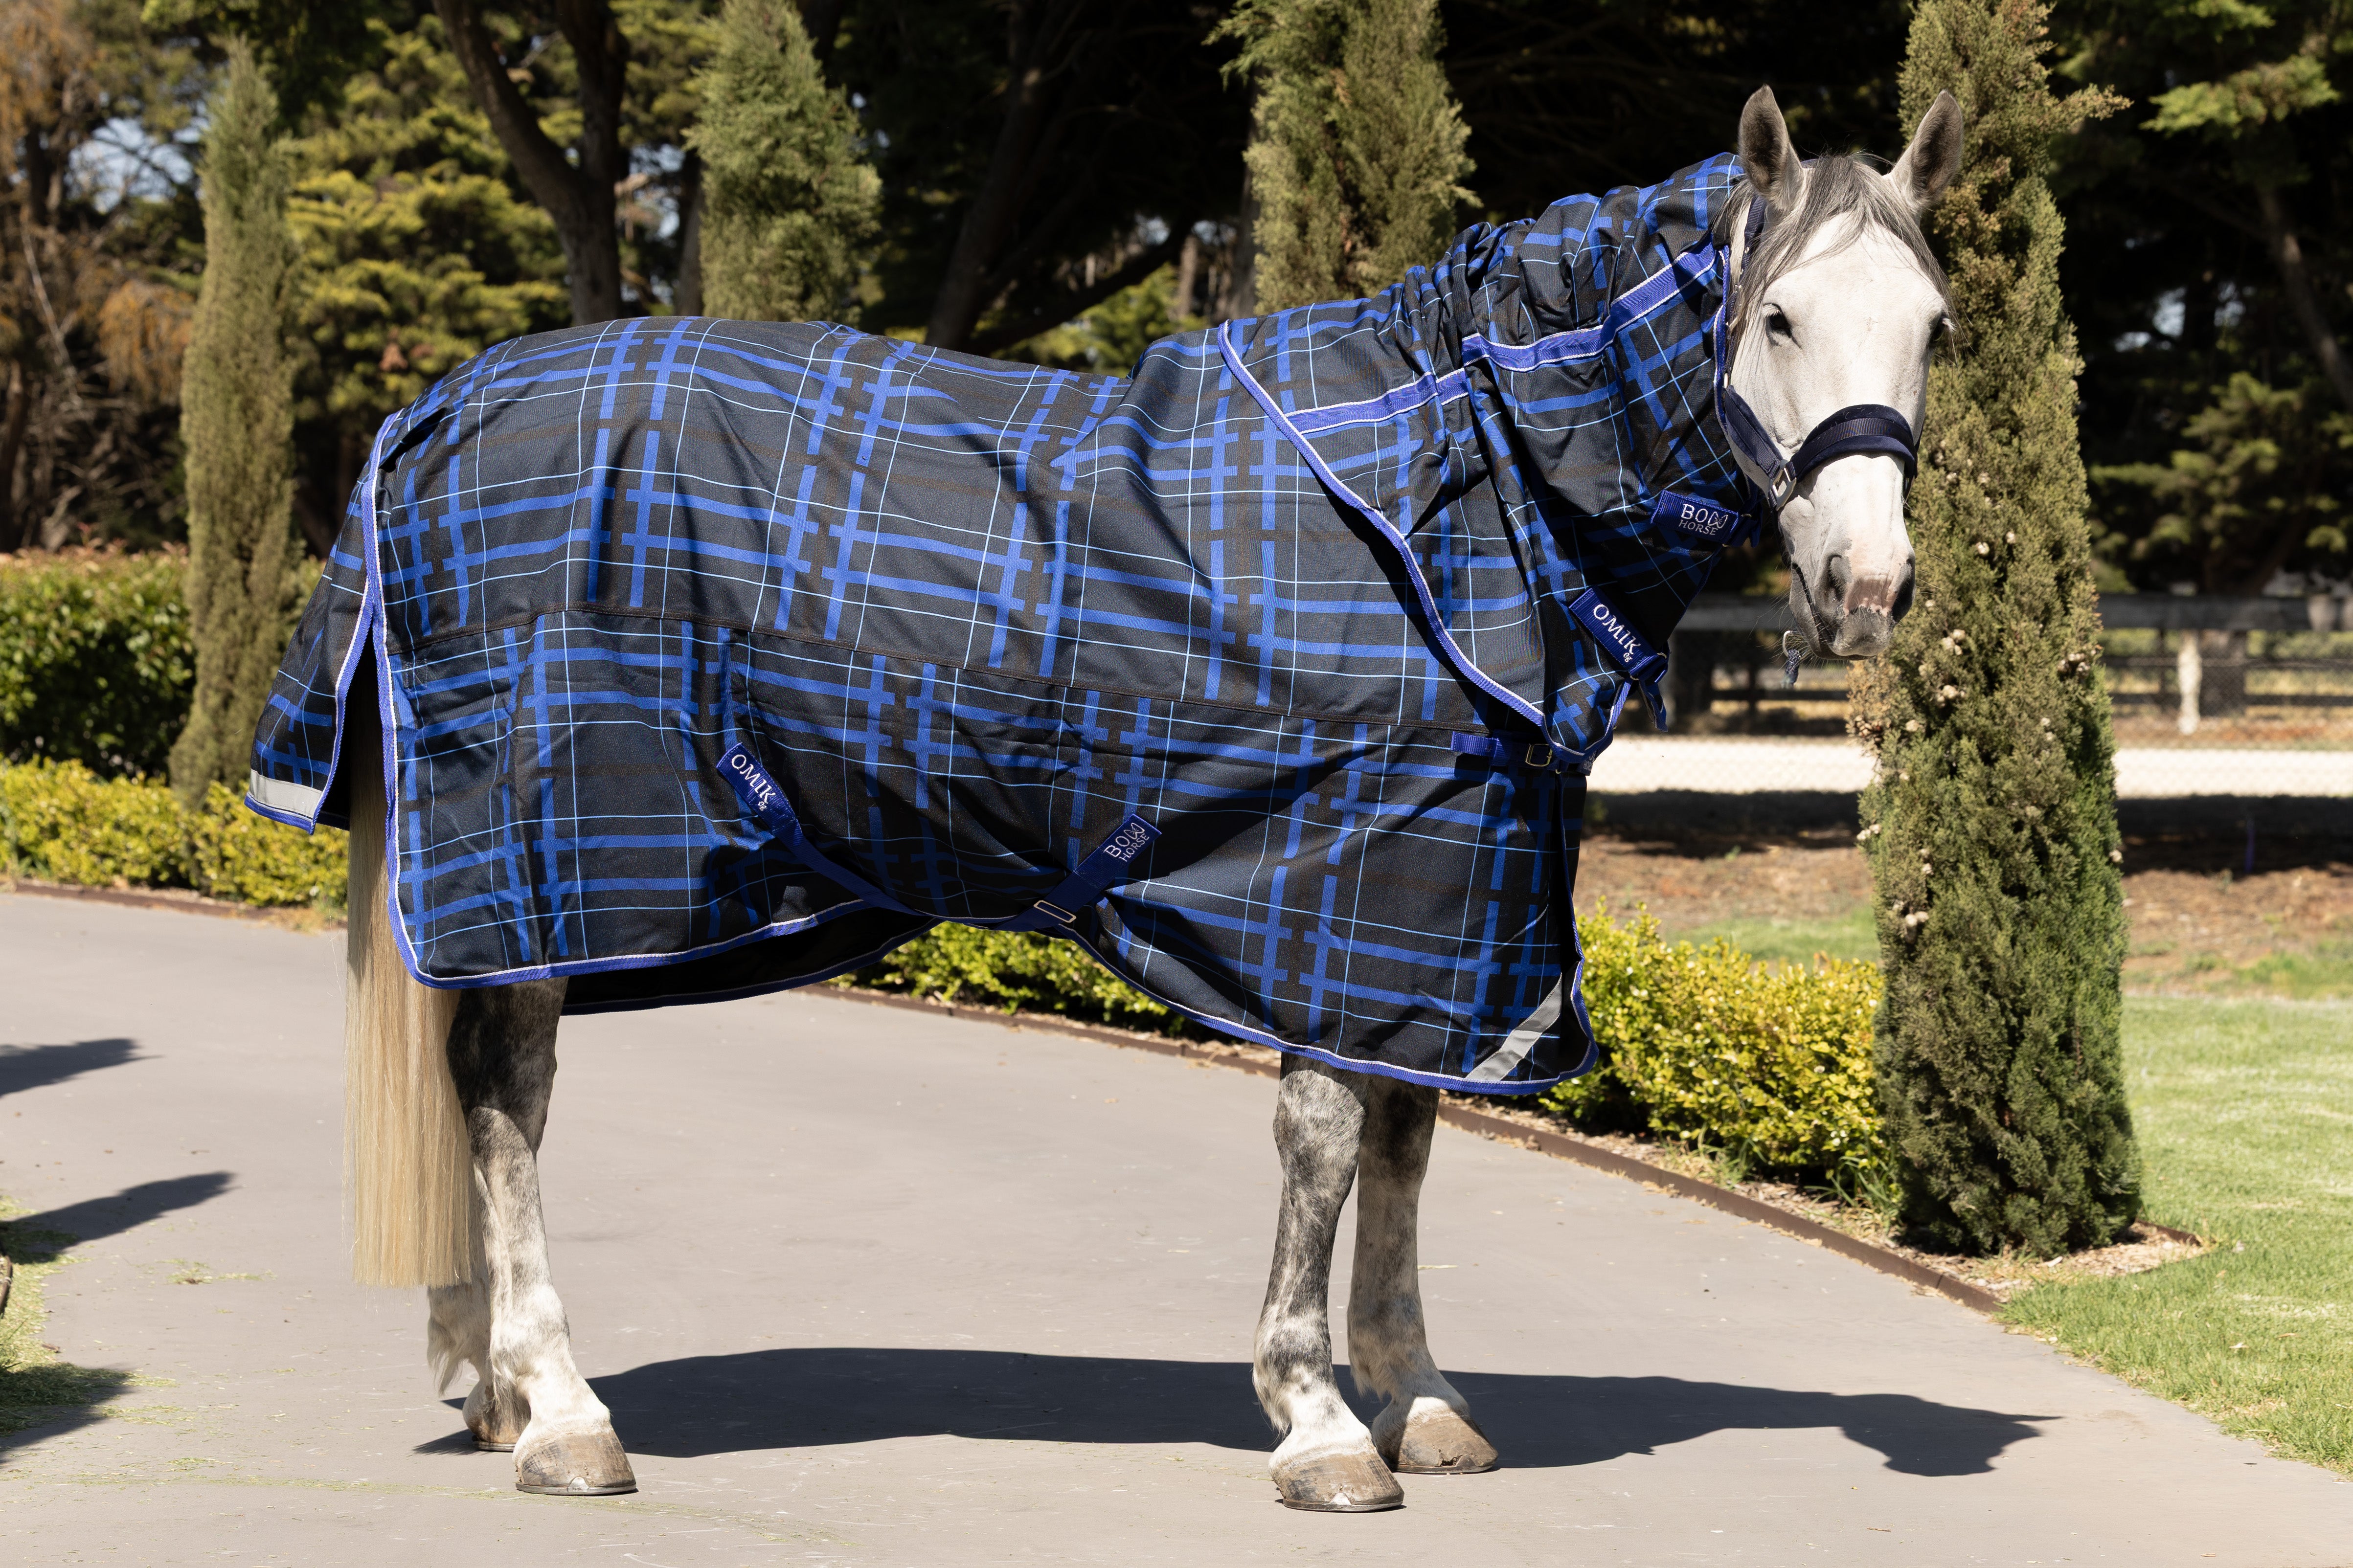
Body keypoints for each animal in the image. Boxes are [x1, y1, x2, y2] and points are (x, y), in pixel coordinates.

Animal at [252, 86, 1961, 1512]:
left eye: (1933, 326)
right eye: (1780, 312)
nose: (1868, 585)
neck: (1449, 494)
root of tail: (426, 413)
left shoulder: (1441, 905)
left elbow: (1409, 1133)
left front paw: (1417, 1393)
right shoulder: (1332, 877)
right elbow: (1326, 1137)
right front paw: (1319, 1418)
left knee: (480, 1084)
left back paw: (491, 1387)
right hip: (543, 864)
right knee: (506, 1096)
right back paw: (560, 1410)